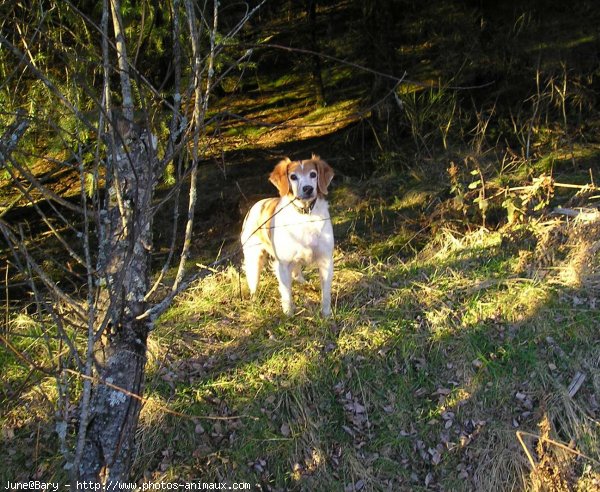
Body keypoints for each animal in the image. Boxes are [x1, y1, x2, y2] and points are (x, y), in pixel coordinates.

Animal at [241, 155, 336, 316]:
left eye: (313, 174)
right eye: (293, 177)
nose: (308, 188)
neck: (305, 215)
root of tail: (256, 205)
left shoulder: (325, 259)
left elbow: (326, 293)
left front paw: (326, 314)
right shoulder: (283, 264)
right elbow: (286, 293)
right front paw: (288, 314)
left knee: (297, 273)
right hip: (254, 258)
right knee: (253, 283)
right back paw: (255, 301)